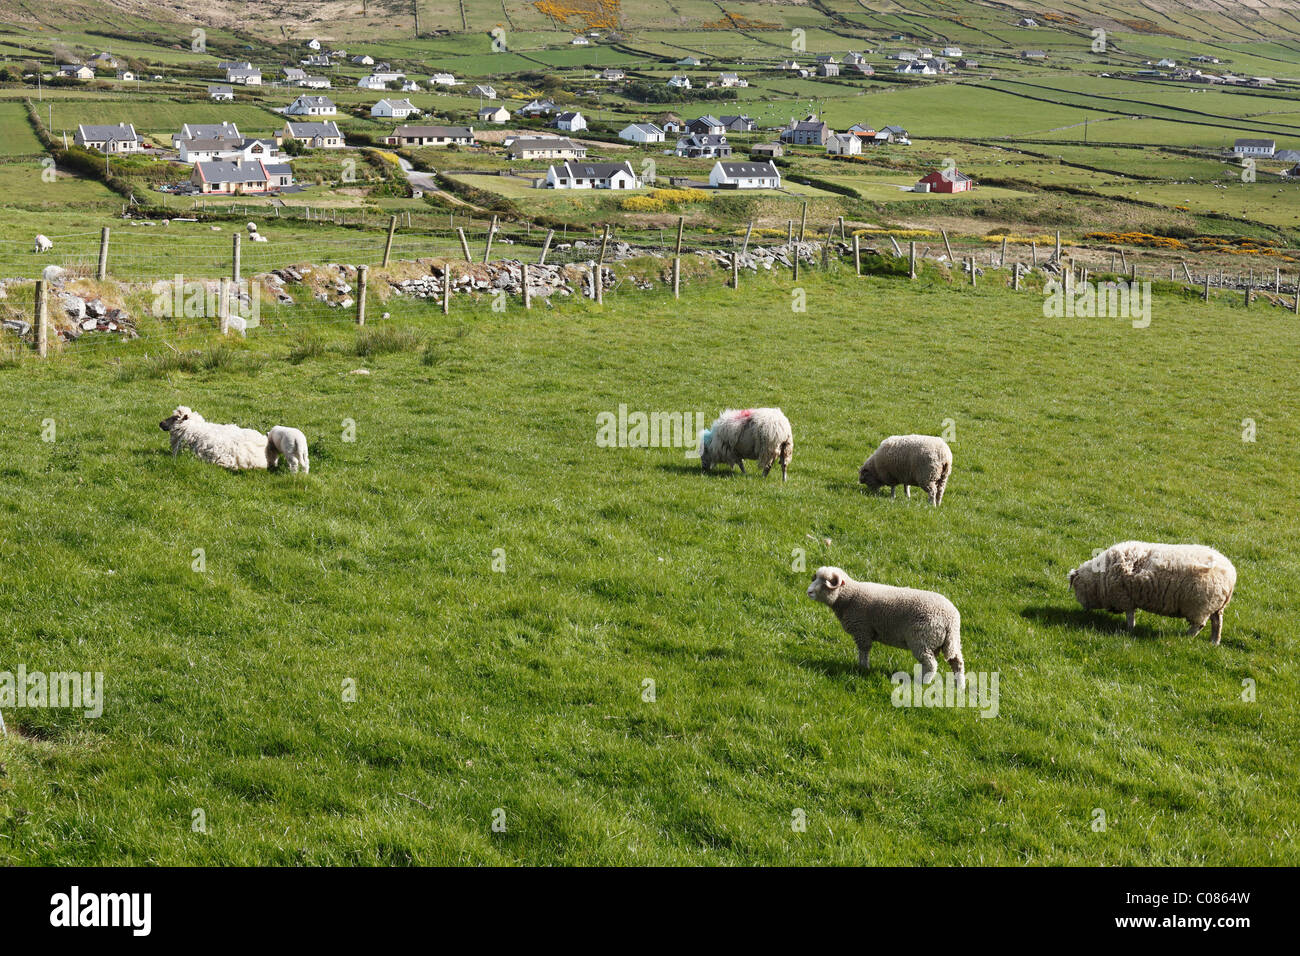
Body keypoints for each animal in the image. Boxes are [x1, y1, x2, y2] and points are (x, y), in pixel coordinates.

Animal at [800, 564, 967, 691]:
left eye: (825, 582)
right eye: (816, 578)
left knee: (931, 664)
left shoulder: (862, 630)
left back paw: (922, 682)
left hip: (921, 640)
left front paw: (863, 668)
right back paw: (959, 685)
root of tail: (951, 619)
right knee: (957, 662)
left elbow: (864, 651)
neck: (850, 597)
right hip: (951, 642)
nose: (808, 592)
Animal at [1066, 541, 1237, 647]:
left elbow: (1130, 616)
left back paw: (1185, 637)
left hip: (1201, 606)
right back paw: (1214, 641)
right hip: (1216, 607)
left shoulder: (1125, 598)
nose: (1083, 609)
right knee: (1217, 623)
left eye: (1076, 587)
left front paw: (1129, 629)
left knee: (1199, 625)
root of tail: (1231, 575)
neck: (1100, 579)